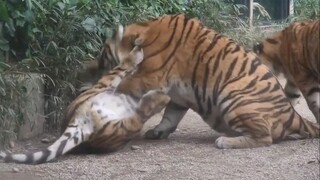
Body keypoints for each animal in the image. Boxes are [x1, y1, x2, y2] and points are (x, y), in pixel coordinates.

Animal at [0, 34, 170, 165]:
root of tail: (78, 121)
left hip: (117, 129)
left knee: (137, 117)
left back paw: (160, 96)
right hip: (105, 88)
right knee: (124, 71)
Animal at [98, 14, 320, 149]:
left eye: (104, 51)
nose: (97, 65)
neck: (146, 31)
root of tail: (292, 115)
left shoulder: (150, 75)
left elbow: (127, 84)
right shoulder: (178, 95)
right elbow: (170, 116)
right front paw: (158, 131)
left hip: (233, 95)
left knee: (265, 137)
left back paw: (225, 141)